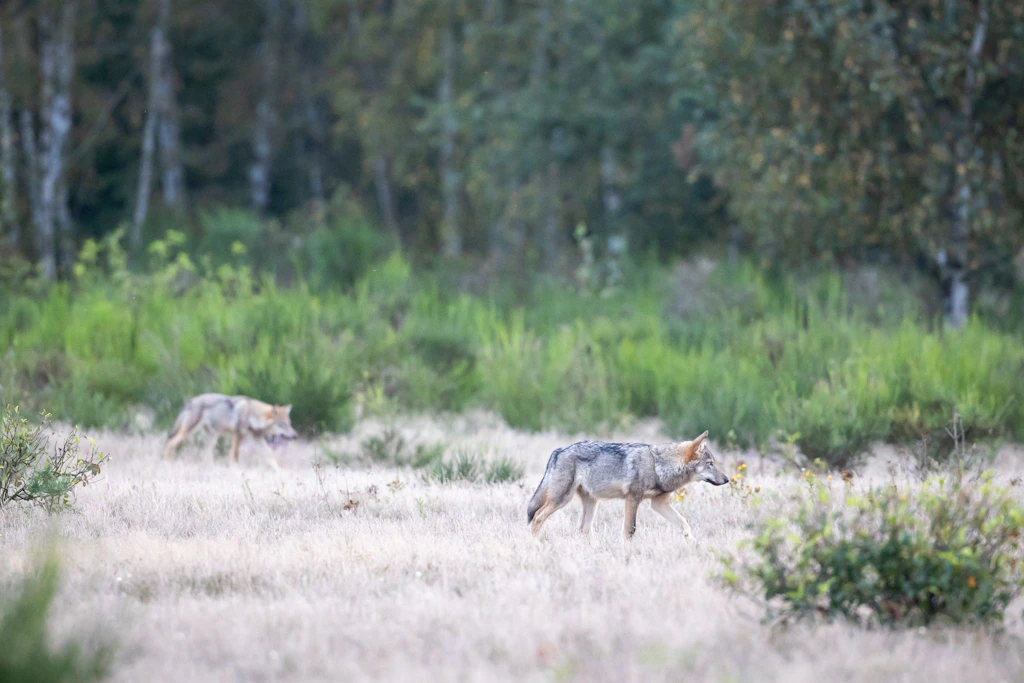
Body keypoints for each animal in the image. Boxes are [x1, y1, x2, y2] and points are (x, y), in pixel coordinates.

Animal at [163, 393, 297, 469]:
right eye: (282, 425)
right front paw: (236, 470)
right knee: (170, 443)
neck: (252, 414)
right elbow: (235, 456)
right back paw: (168, 464)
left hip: (212, 438)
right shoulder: (238, 436)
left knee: (206, 454)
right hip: (187, 432)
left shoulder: (257, 438)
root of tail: (191, 401)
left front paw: (280, 472)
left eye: (289, 424)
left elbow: (270, 456)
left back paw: (212, 469)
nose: (295, 436)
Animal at [526, 431, 728, 541]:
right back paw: (535, 545)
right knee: (537, 517)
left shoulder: (659, 504)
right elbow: (630, 530)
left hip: (591, 503)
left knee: (583, 529)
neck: (659, 465)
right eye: (710, 464)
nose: (726, 479)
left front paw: (694, 544)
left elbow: (684, 524)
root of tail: (558, 451)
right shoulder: (633, 499)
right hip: (562, 499)